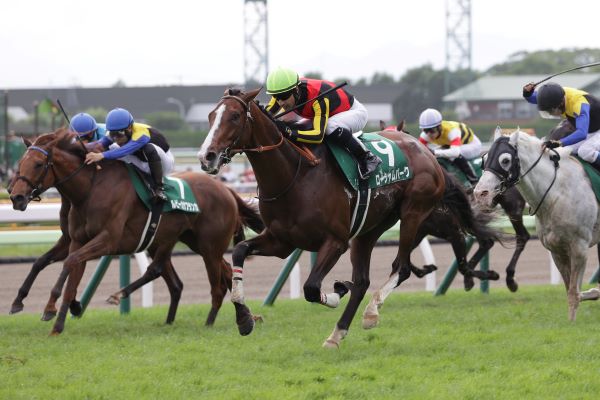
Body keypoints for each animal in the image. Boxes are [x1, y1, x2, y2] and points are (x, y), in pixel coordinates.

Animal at [9, 128, 264, 335]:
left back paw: (210, 322)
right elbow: (59, 269)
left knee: (216, 286)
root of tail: (226, 190)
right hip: (191, 242)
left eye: (38, 164)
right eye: (20, 163)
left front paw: (51, 307)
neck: (89, 189)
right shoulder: (76, 240)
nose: (16, 196)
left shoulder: (107, 240)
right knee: (220, 272)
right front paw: (54, 320)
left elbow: (69, 263)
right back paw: (243, 316)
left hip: (209, 246)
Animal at [198, 88, 459, 348]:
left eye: (234, 116)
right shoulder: (281, 242)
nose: (206, 157)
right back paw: (337, 334)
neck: (295, 175)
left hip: (412, 213)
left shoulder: (335, 242)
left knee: (401, 267)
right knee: (362, 281)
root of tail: (426, 151)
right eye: (210, 116)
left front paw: (339, 289)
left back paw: (371, 312)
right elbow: (240, 250)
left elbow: (312, 288)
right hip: (369, 228)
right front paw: (244, 318)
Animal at [380, 120, 526, 291]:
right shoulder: (421, 229)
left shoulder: (454, 232)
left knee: (519, 237)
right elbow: (403, 260)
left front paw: (491, 274)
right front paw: (427, 268)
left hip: (513, 208)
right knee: (486, 242)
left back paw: (509, 278)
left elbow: (463, 266)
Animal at [474, 129, 600, 320]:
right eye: (484, 157)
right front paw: (593, 293)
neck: (557, 193)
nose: (480, 194)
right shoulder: (557, 249)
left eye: (505, 160)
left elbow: (573, 293)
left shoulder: (579, 247)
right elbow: (572, 290)